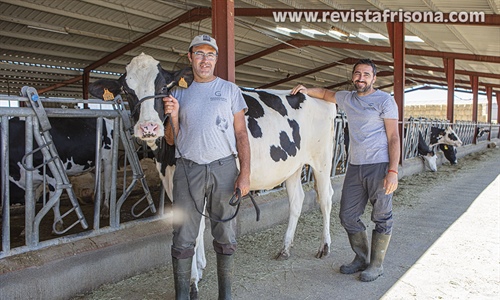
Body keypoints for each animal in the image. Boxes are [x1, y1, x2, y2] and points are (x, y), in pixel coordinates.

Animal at [90, 52, 336, 296]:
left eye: (164, 86)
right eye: (126, 90)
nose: (148, 127)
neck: (165, 158)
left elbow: (197, 229)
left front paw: (193, 280)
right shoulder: (175, 183)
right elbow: (196, 228)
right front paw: (199, 267)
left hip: (322, 160)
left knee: (326, 198)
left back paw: (324, 246)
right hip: (292, 166)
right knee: (296, 201)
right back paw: (285, 249)